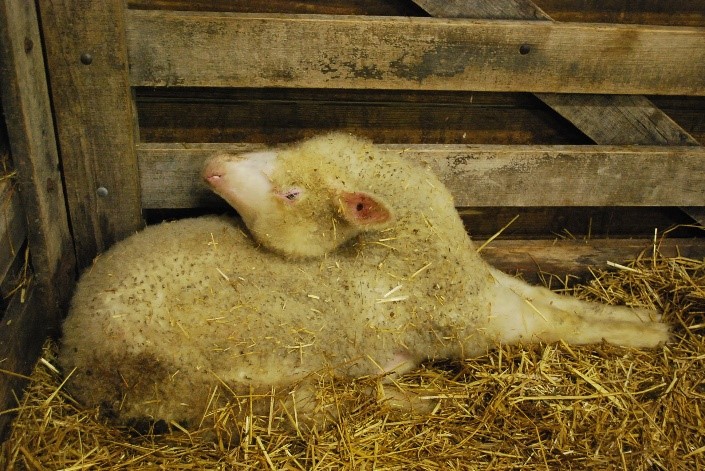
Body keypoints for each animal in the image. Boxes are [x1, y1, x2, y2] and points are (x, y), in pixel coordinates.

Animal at [58, 133, 669, 432]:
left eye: (291, 191)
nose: (210, 165)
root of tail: (73, 344)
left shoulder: (489, 287)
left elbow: (552, 299)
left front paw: (644, 320)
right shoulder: (471, 325)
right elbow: (557, 323)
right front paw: (649, 333)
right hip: (185, 380)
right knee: (276, 408)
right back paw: (405, 401)